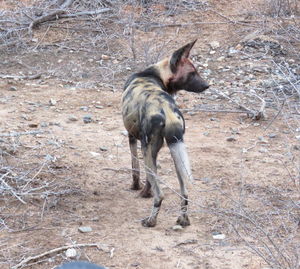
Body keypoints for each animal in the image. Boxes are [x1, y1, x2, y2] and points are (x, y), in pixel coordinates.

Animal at [121, 39, 209, 226]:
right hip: (175, 152)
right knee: (184, 191)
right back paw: (183, 219)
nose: (207, 85)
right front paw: (145, 192)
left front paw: (137, 189)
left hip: (147, 150)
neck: (154, 74)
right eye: (192, 73)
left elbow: (135, 170)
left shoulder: (133, 138)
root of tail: (166, 109)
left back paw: (150, 221)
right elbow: (149, 179)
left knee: (160, 195)